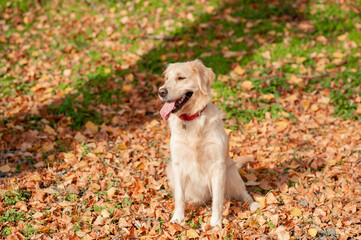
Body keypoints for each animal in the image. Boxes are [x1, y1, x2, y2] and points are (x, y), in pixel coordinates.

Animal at [158, 58, 258, 227]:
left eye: (180, 78)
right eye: (166, 79)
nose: (161, 91)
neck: (191, 120)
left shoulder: (217, 166)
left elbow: (217, 199)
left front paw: (216, 223)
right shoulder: (178, 164)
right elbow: (179, 197)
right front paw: (177, 218)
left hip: (231, 175)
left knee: (244, 193)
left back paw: (254, 205)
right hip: (170, 169)